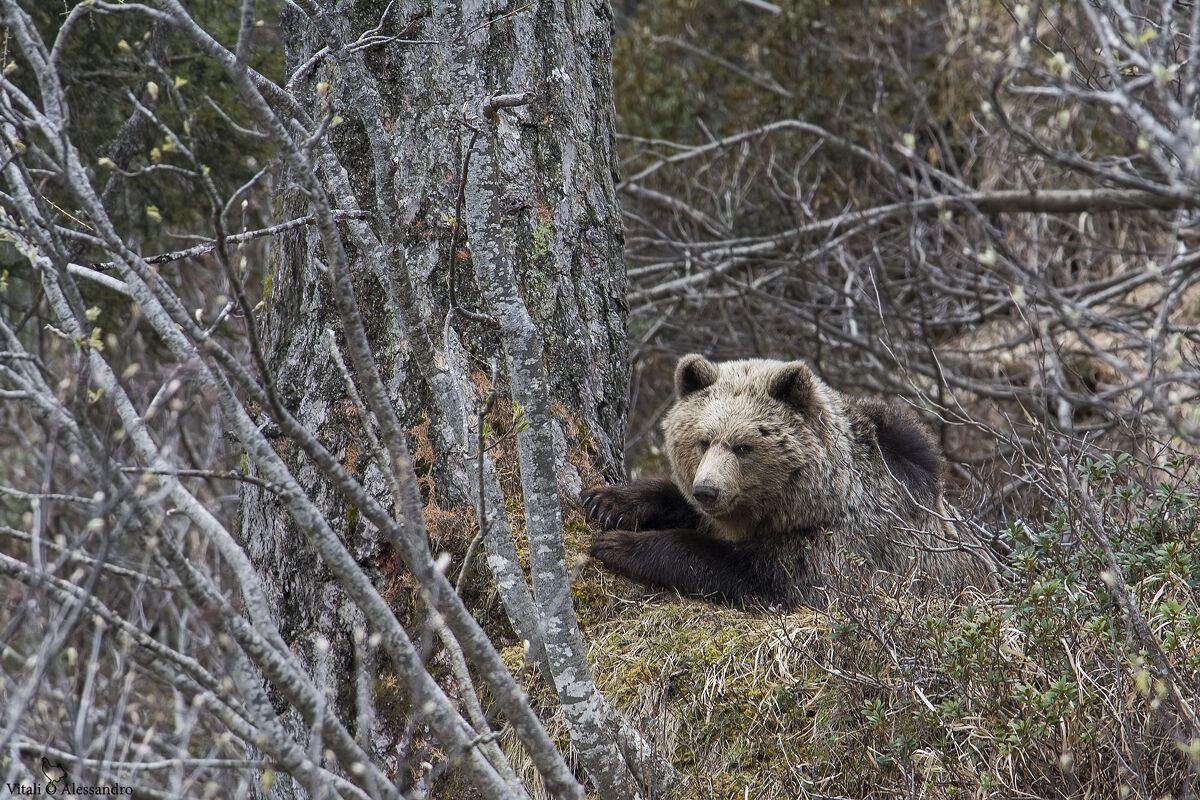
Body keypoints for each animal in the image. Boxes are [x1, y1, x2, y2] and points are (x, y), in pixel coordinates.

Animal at [581, 354, 998, 609]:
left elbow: (754, 573)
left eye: (743, 446)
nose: (706, 491)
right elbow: (677, 504)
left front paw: (620, 544)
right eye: (703, 440)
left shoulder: (842, 548)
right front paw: (608, 504)